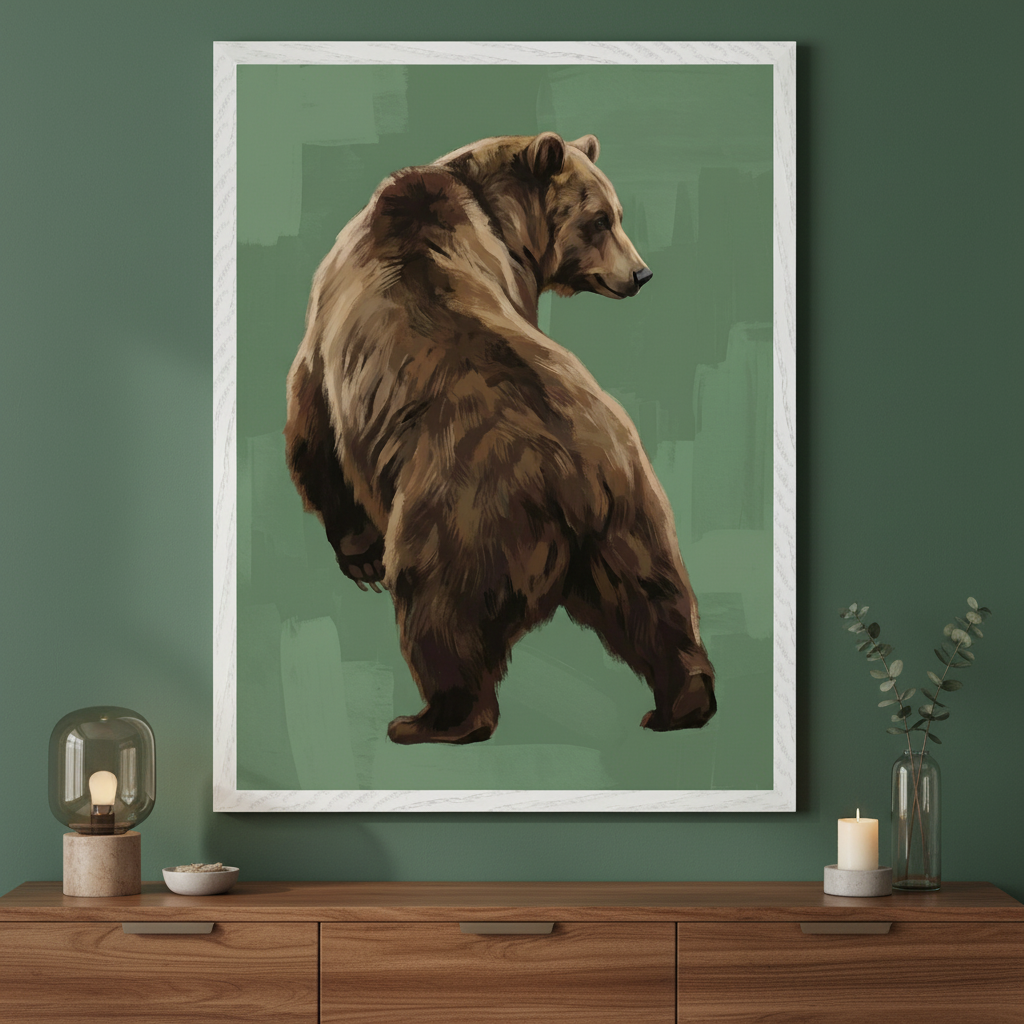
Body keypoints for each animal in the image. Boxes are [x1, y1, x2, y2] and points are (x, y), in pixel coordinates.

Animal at [284, 132, 716, 745]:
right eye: (601, 220)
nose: (640, 274)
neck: (490, 207)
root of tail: (573, 471)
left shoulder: (328, 337)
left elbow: (312, 426)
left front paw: (361, 559)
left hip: (459, 516)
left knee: (441, 615)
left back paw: (428, 720)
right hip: (634, 514)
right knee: (658, 604)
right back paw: (680, 705)